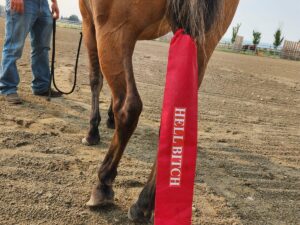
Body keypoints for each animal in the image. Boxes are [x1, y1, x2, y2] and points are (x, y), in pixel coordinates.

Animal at [78, 0, 238, 222]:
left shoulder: (89, 22)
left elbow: (95, 79)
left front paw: (92, 132)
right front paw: (109, 120)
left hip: (113, 29)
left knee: (128, 107)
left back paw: (104, 183)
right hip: (203, 42)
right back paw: (143, 204)